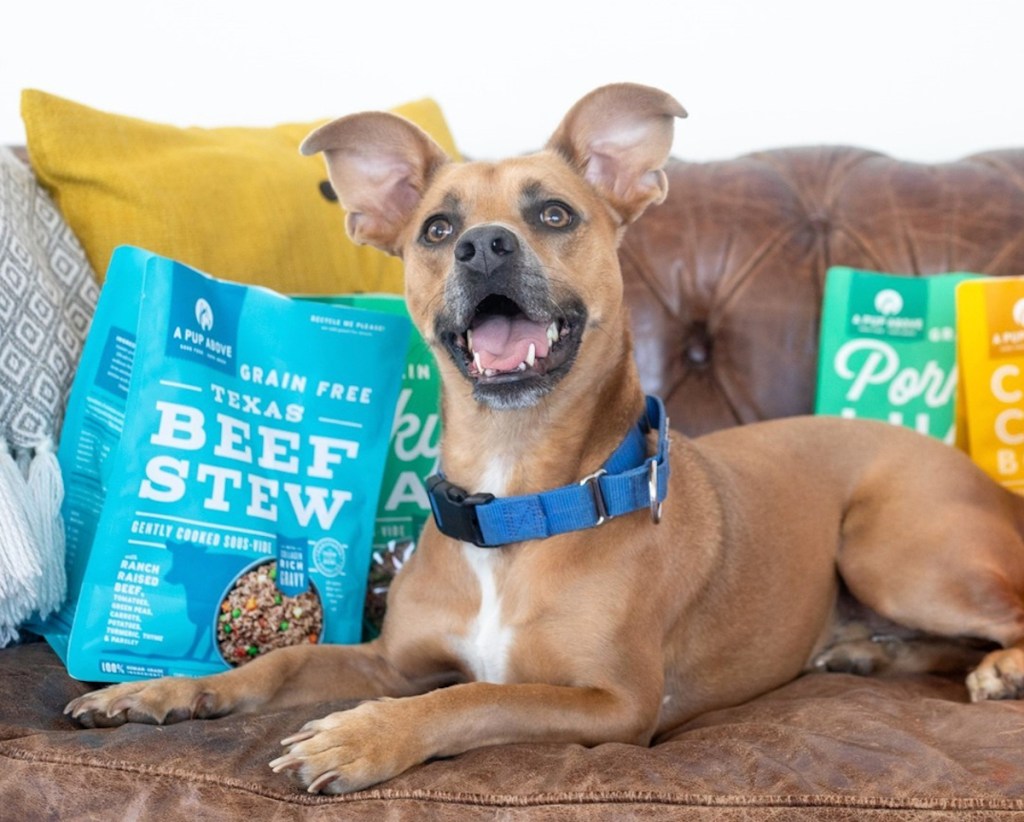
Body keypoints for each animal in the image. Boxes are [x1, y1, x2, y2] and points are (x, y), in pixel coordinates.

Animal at [66, 81, 1024, 790]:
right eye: (437, 228)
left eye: (555, 215)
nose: (484, 247)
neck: (515, 497)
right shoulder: (389, 660)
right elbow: (276, 669)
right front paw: (164, 687)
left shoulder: (611, 704)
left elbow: (467, 703)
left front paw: (360, 740)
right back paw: (865, 650)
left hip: (892, 551)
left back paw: (999, 669)